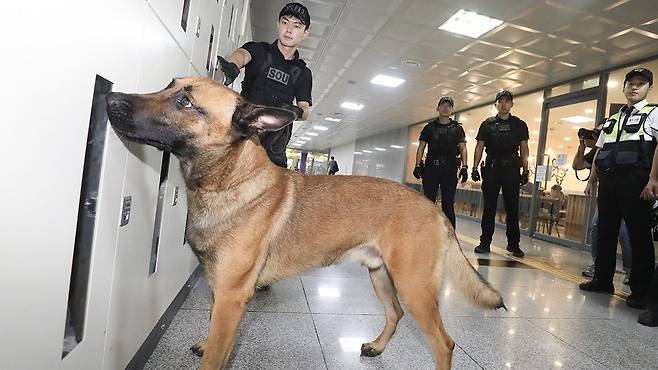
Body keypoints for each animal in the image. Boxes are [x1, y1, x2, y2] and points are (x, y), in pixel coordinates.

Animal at [106, 76, 502, 368]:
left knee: (444, 343)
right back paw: (376, 347)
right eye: (169, 85)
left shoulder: (232, 296)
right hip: (382, 276)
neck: (229, 179)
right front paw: (207, 342)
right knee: (395, 314)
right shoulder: (219, 289)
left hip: (414, 285)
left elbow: (216, 356)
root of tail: (434, 207)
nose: (111, 99)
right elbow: (214, 335)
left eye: (185, 102)